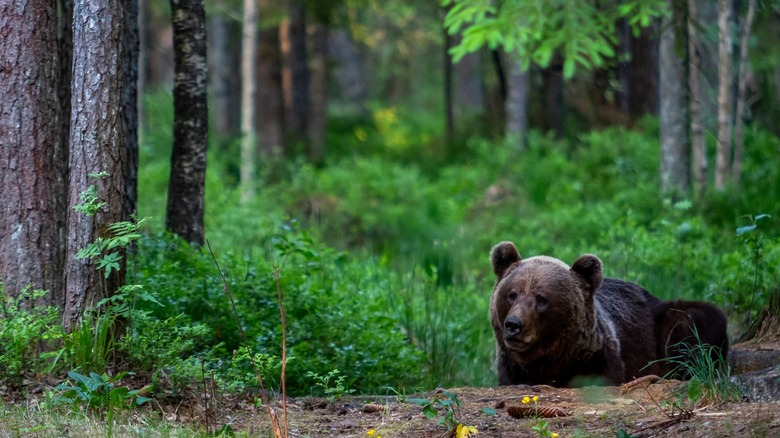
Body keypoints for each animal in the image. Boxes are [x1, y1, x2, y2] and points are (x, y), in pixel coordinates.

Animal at [490, 241, 728, 388]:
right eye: (512, 294)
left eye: (541, 298)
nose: (514, 325)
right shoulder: (512, 368)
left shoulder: (599, 358)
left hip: (666, 321)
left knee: (694, 323)